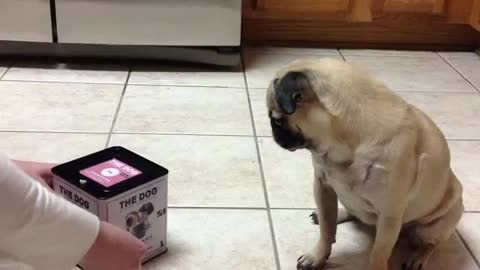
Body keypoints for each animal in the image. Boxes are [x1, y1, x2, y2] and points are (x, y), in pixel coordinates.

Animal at [268, 58, 464, 270]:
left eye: (276, 121)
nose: (274, 135)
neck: (345, 145)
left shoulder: (389, 215)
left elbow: (378, 253)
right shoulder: (323, 187)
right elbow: (327, 230)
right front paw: (317, 256)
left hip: (437, 225)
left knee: (429, 244)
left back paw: (418, 257)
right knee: (350, 213)